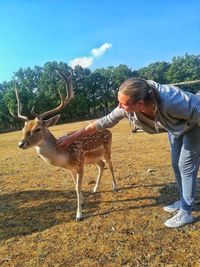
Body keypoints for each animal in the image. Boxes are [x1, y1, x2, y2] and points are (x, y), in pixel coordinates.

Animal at [10, 70, 117, 222]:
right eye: (23, 129)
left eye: (38, 129)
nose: (20, 144)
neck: (65, 156)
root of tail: (109, 130)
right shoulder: (71, 168)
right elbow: (74, 185)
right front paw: (82, 202)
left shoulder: (79, 163)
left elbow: (77, 187)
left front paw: (79, 215)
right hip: (94, 157)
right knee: (102, 165)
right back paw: (95, 189)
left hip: (107, 148)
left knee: (111, 164)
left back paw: (115, 186)